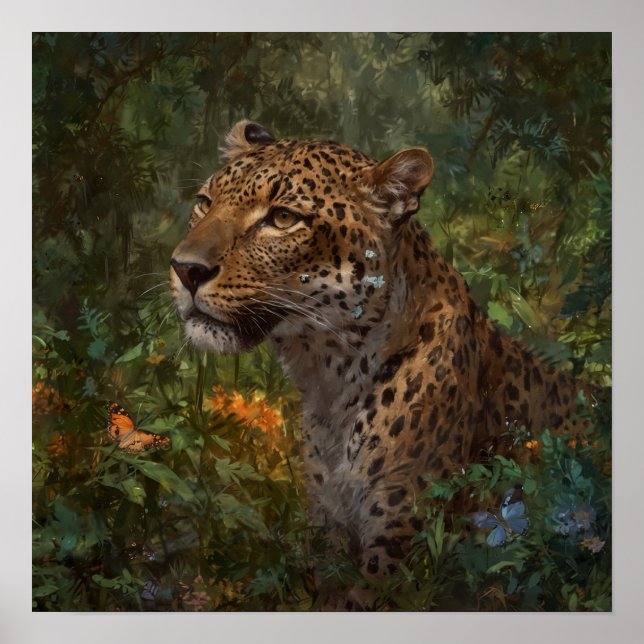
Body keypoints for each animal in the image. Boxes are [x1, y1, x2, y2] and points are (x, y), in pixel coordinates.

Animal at [170, 120, 595, 609]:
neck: (330, 380)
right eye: (205, 203)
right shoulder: (329, 523)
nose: (185, 269)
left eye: (282, 218)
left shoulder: (399, 534)